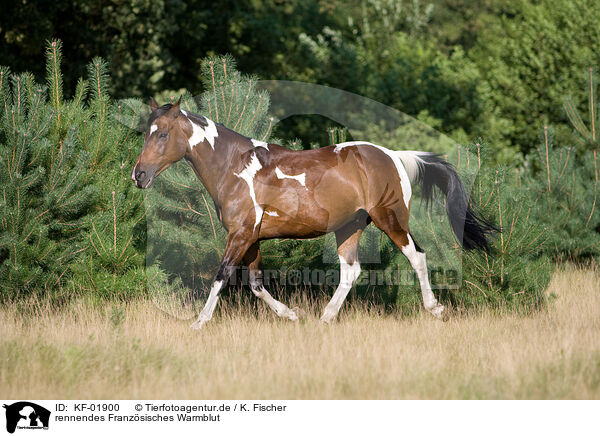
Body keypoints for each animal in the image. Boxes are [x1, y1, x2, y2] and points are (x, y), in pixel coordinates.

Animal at [134, 98, 494, 330]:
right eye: (145, 132)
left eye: (162, 134)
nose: (139, 175)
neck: (235, 167)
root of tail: (393, 156)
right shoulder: (251, 238)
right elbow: (256, 284)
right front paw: (292, 315)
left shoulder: (240, 234)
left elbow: (221, 275)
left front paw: (199, 322)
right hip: (349, 227)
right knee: (351, 271)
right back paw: (325, 317)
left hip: (391, 219)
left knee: (416, 257)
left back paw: (435, 309)